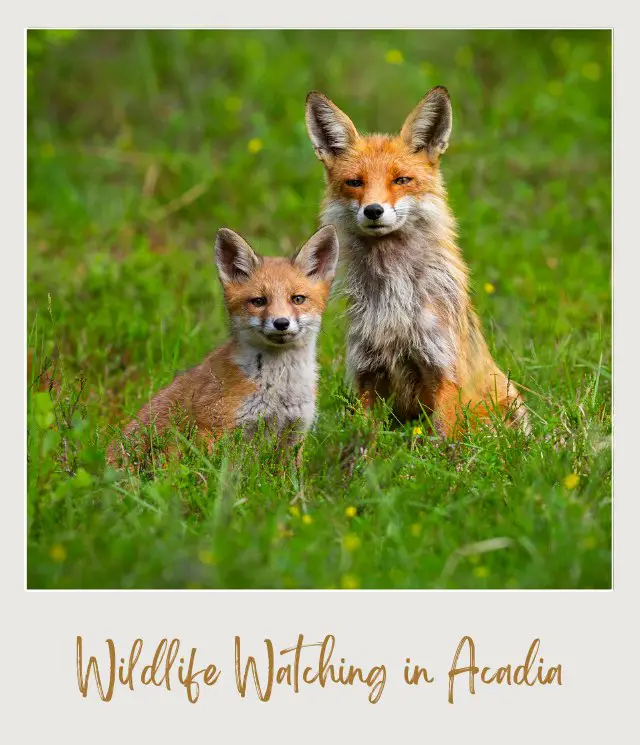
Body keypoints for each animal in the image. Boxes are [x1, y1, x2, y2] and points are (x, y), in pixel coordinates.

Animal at [306, 88, 528, 438]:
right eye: (355, 183)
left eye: (401, 180)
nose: (373, 210)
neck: (394, 299)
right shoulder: (368, 371)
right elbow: (363, 439)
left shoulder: (442, 367)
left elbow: (445, 439)